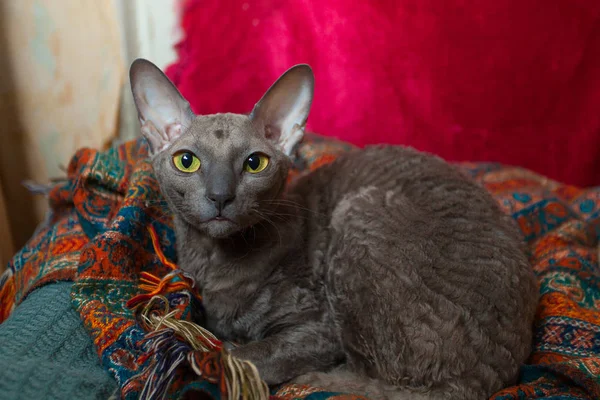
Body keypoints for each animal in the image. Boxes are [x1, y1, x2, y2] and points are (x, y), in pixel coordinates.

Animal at [130, 57, 540, 398]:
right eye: (186, 161)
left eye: (255, 163)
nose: (220, 195)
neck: (215, 262)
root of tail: (495, 375)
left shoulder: (320, 329)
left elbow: (253, 353)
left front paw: (213, 356)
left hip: (360, 208)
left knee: (385, 382)